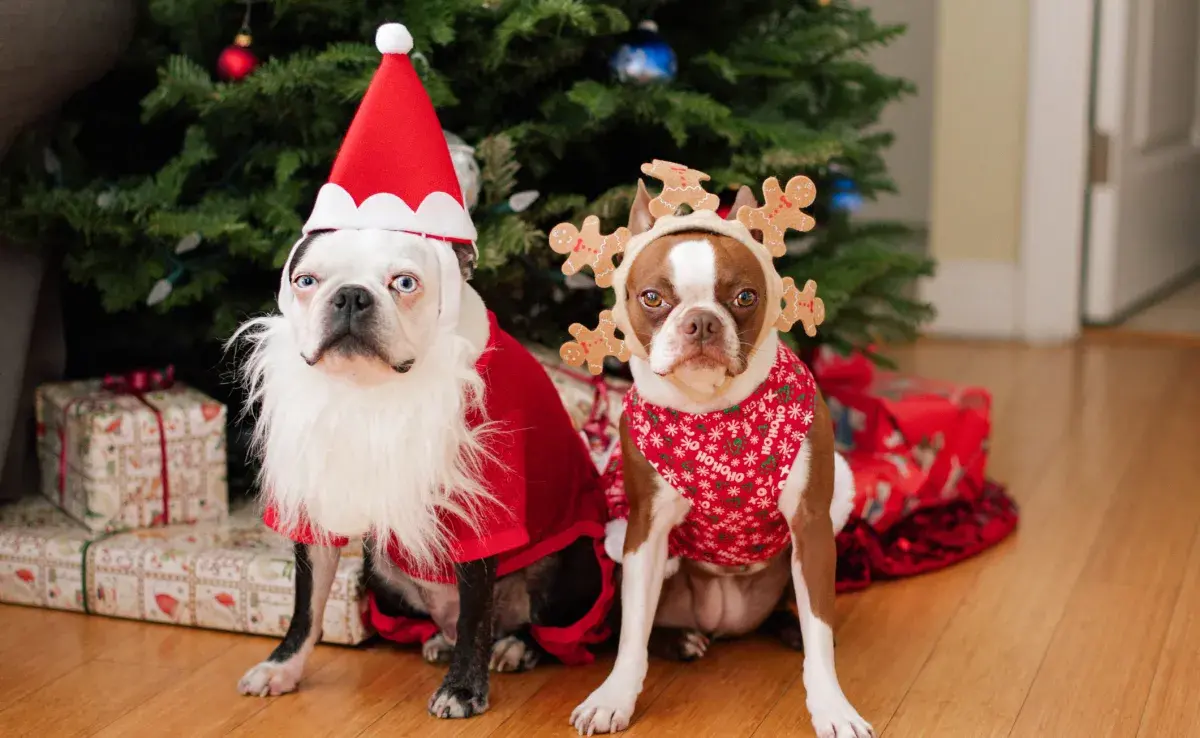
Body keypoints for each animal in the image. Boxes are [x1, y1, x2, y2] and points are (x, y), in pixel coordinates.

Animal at [571, 184, 873, 738]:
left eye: (745, 297)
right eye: (652, 297)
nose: (702, 321)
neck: (713, 415)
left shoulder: (812, 527)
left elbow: (820, 631)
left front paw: (832, 707)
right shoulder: (644, 530)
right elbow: (631, 633)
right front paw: (613, 697)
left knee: (800, 612)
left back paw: (787, 628)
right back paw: (681, 639)